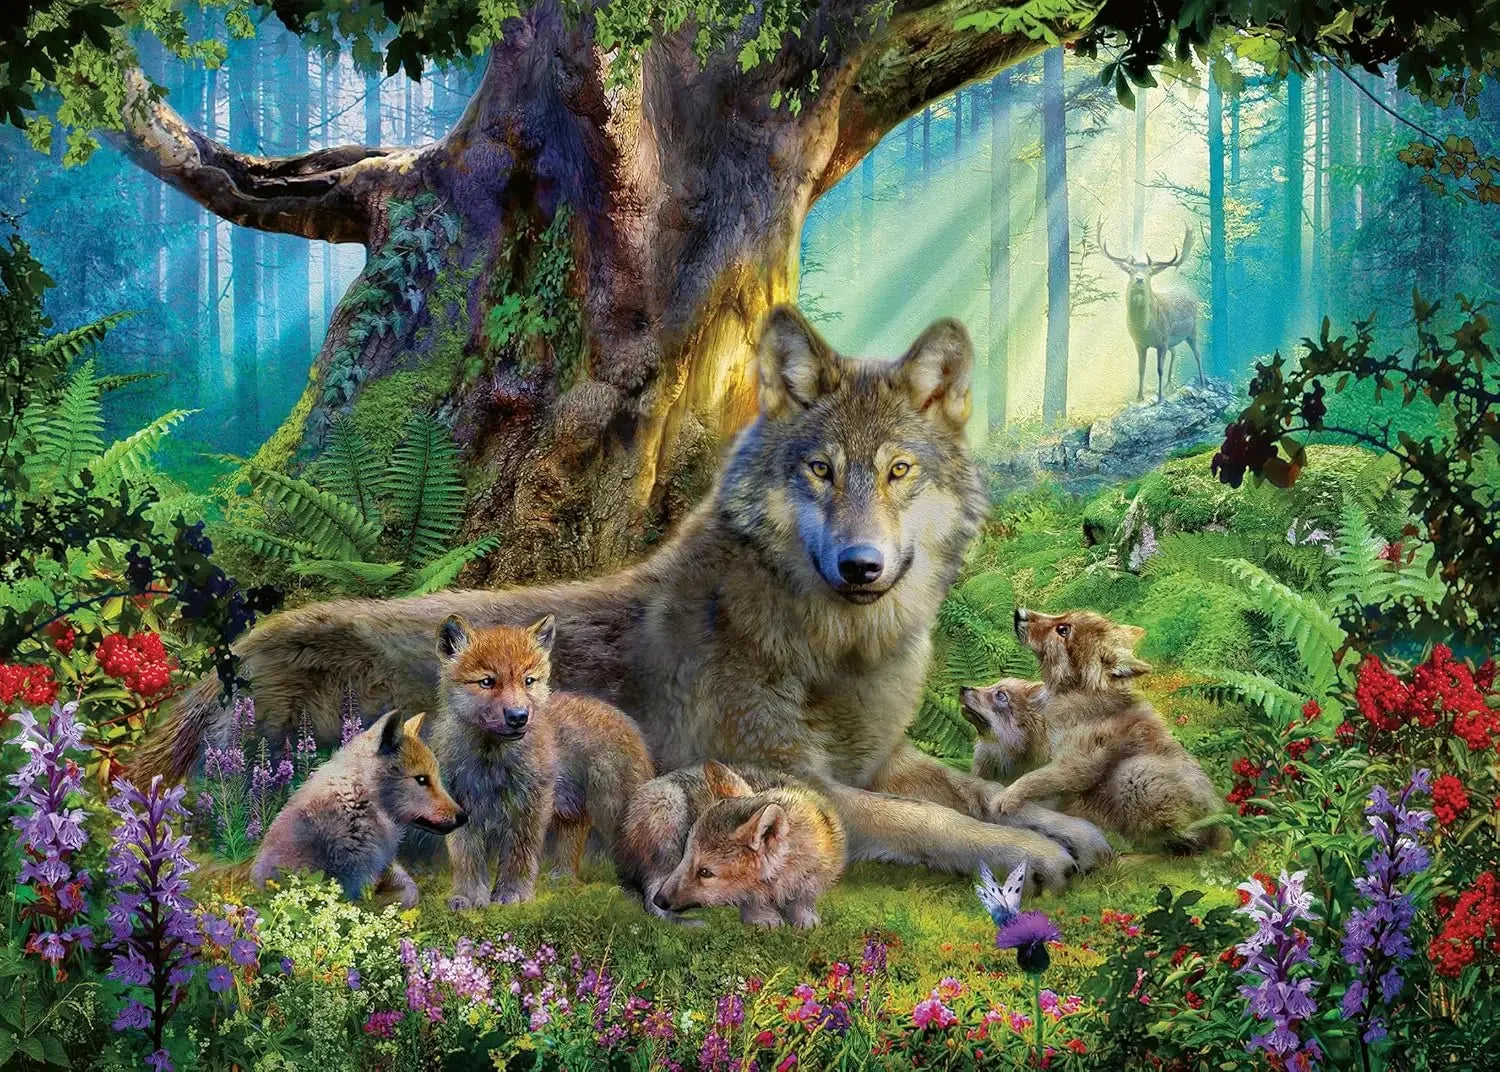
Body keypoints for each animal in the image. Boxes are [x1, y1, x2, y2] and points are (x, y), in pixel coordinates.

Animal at [431, 614, 654, 907]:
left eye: (528, 681)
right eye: (487, 682)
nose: (518, 716)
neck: (491, 760)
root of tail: (624, 720)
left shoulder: (530, 807)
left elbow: (520, 854)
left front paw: (513, 894)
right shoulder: (461, 805)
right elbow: (466, 857)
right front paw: (467, 898)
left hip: (613, 809)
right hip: (573, 809)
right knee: (575, 836)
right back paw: (563, 877)